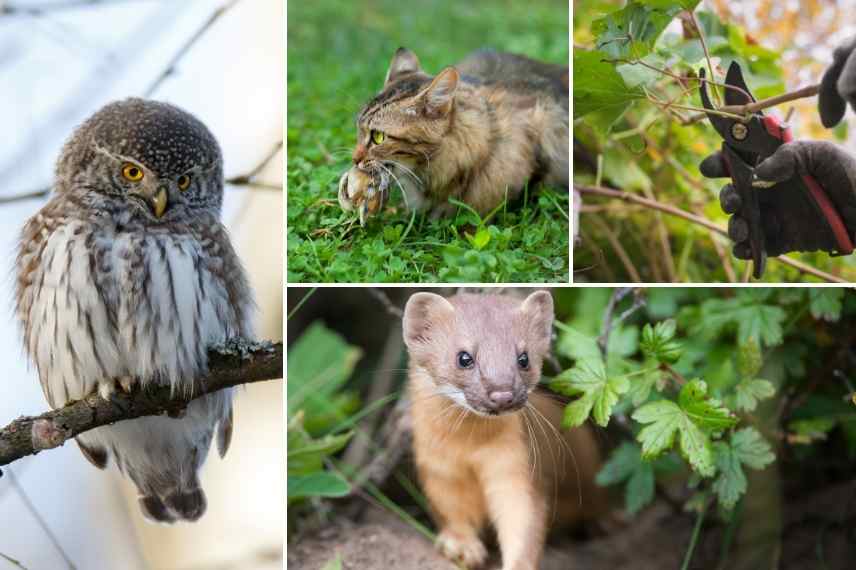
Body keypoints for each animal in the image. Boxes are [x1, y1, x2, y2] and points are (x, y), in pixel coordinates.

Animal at [404, 290, 604, 564]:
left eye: (524, 358)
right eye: (464, 357)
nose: (502, 394)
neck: (471, 450)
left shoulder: (518, 465)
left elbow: (523, 521)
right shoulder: (438, 468)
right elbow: (451, 509)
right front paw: (462, 546)